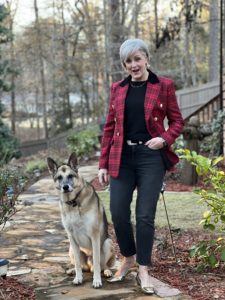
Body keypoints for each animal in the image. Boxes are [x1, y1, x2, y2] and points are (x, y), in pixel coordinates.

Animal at [46, 154, 115, 288]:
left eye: (70, 176)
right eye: (59, 178)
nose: (65, 187)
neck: (73, 203)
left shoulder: (94, 236)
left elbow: (97, 262)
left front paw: (97, 281)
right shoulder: (71, 237)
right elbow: (78, 263)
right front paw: (78, 278)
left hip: (107, 243)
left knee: (101, 265)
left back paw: (107, 271)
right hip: (71, 248)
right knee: (82, 266)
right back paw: (73, 270)